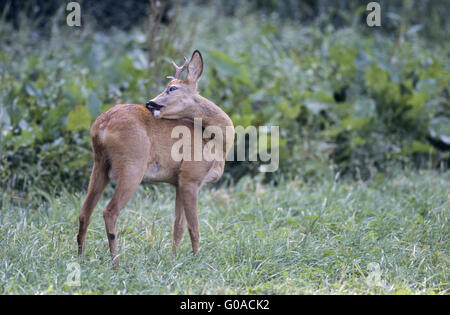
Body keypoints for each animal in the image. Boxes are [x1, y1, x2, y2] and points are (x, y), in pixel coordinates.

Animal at [75, 50, 234, 268]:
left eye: (172, 88)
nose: (150, 103)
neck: (214, 141)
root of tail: (102, 125)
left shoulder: (178, 182)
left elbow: (178, 226)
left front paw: (174, 259)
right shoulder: (191, 177)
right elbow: (194, 227)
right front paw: (197, 261)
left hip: (99, 164)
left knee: (84, 212)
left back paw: (81, 259)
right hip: (133, 166)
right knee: (109, 211)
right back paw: (116, 263)